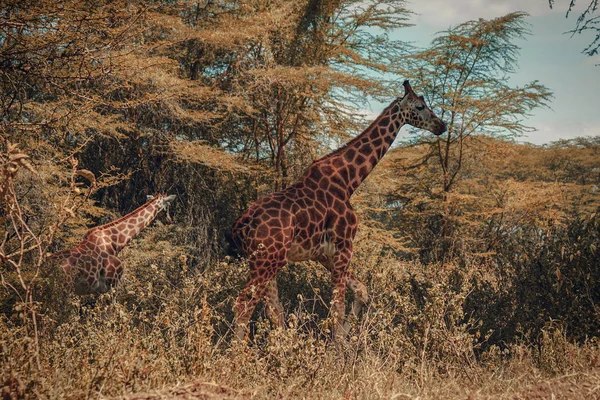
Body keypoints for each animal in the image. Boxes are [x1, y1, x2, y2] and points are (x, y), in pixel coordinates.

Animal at [232, 80, 448, 340]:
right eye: (420, 106)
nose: (441, 125)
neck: (347, 181)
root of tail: (241, 224)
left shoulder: (324, 254)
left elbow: (361, 291)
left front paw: (346, 336)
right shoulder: (345, 246)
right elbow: (338, 308)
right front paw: (341, 346)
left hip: (268, 261)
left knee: (274, 309)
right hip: (265, 261)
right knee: (243, 304)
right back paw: (237, 351)